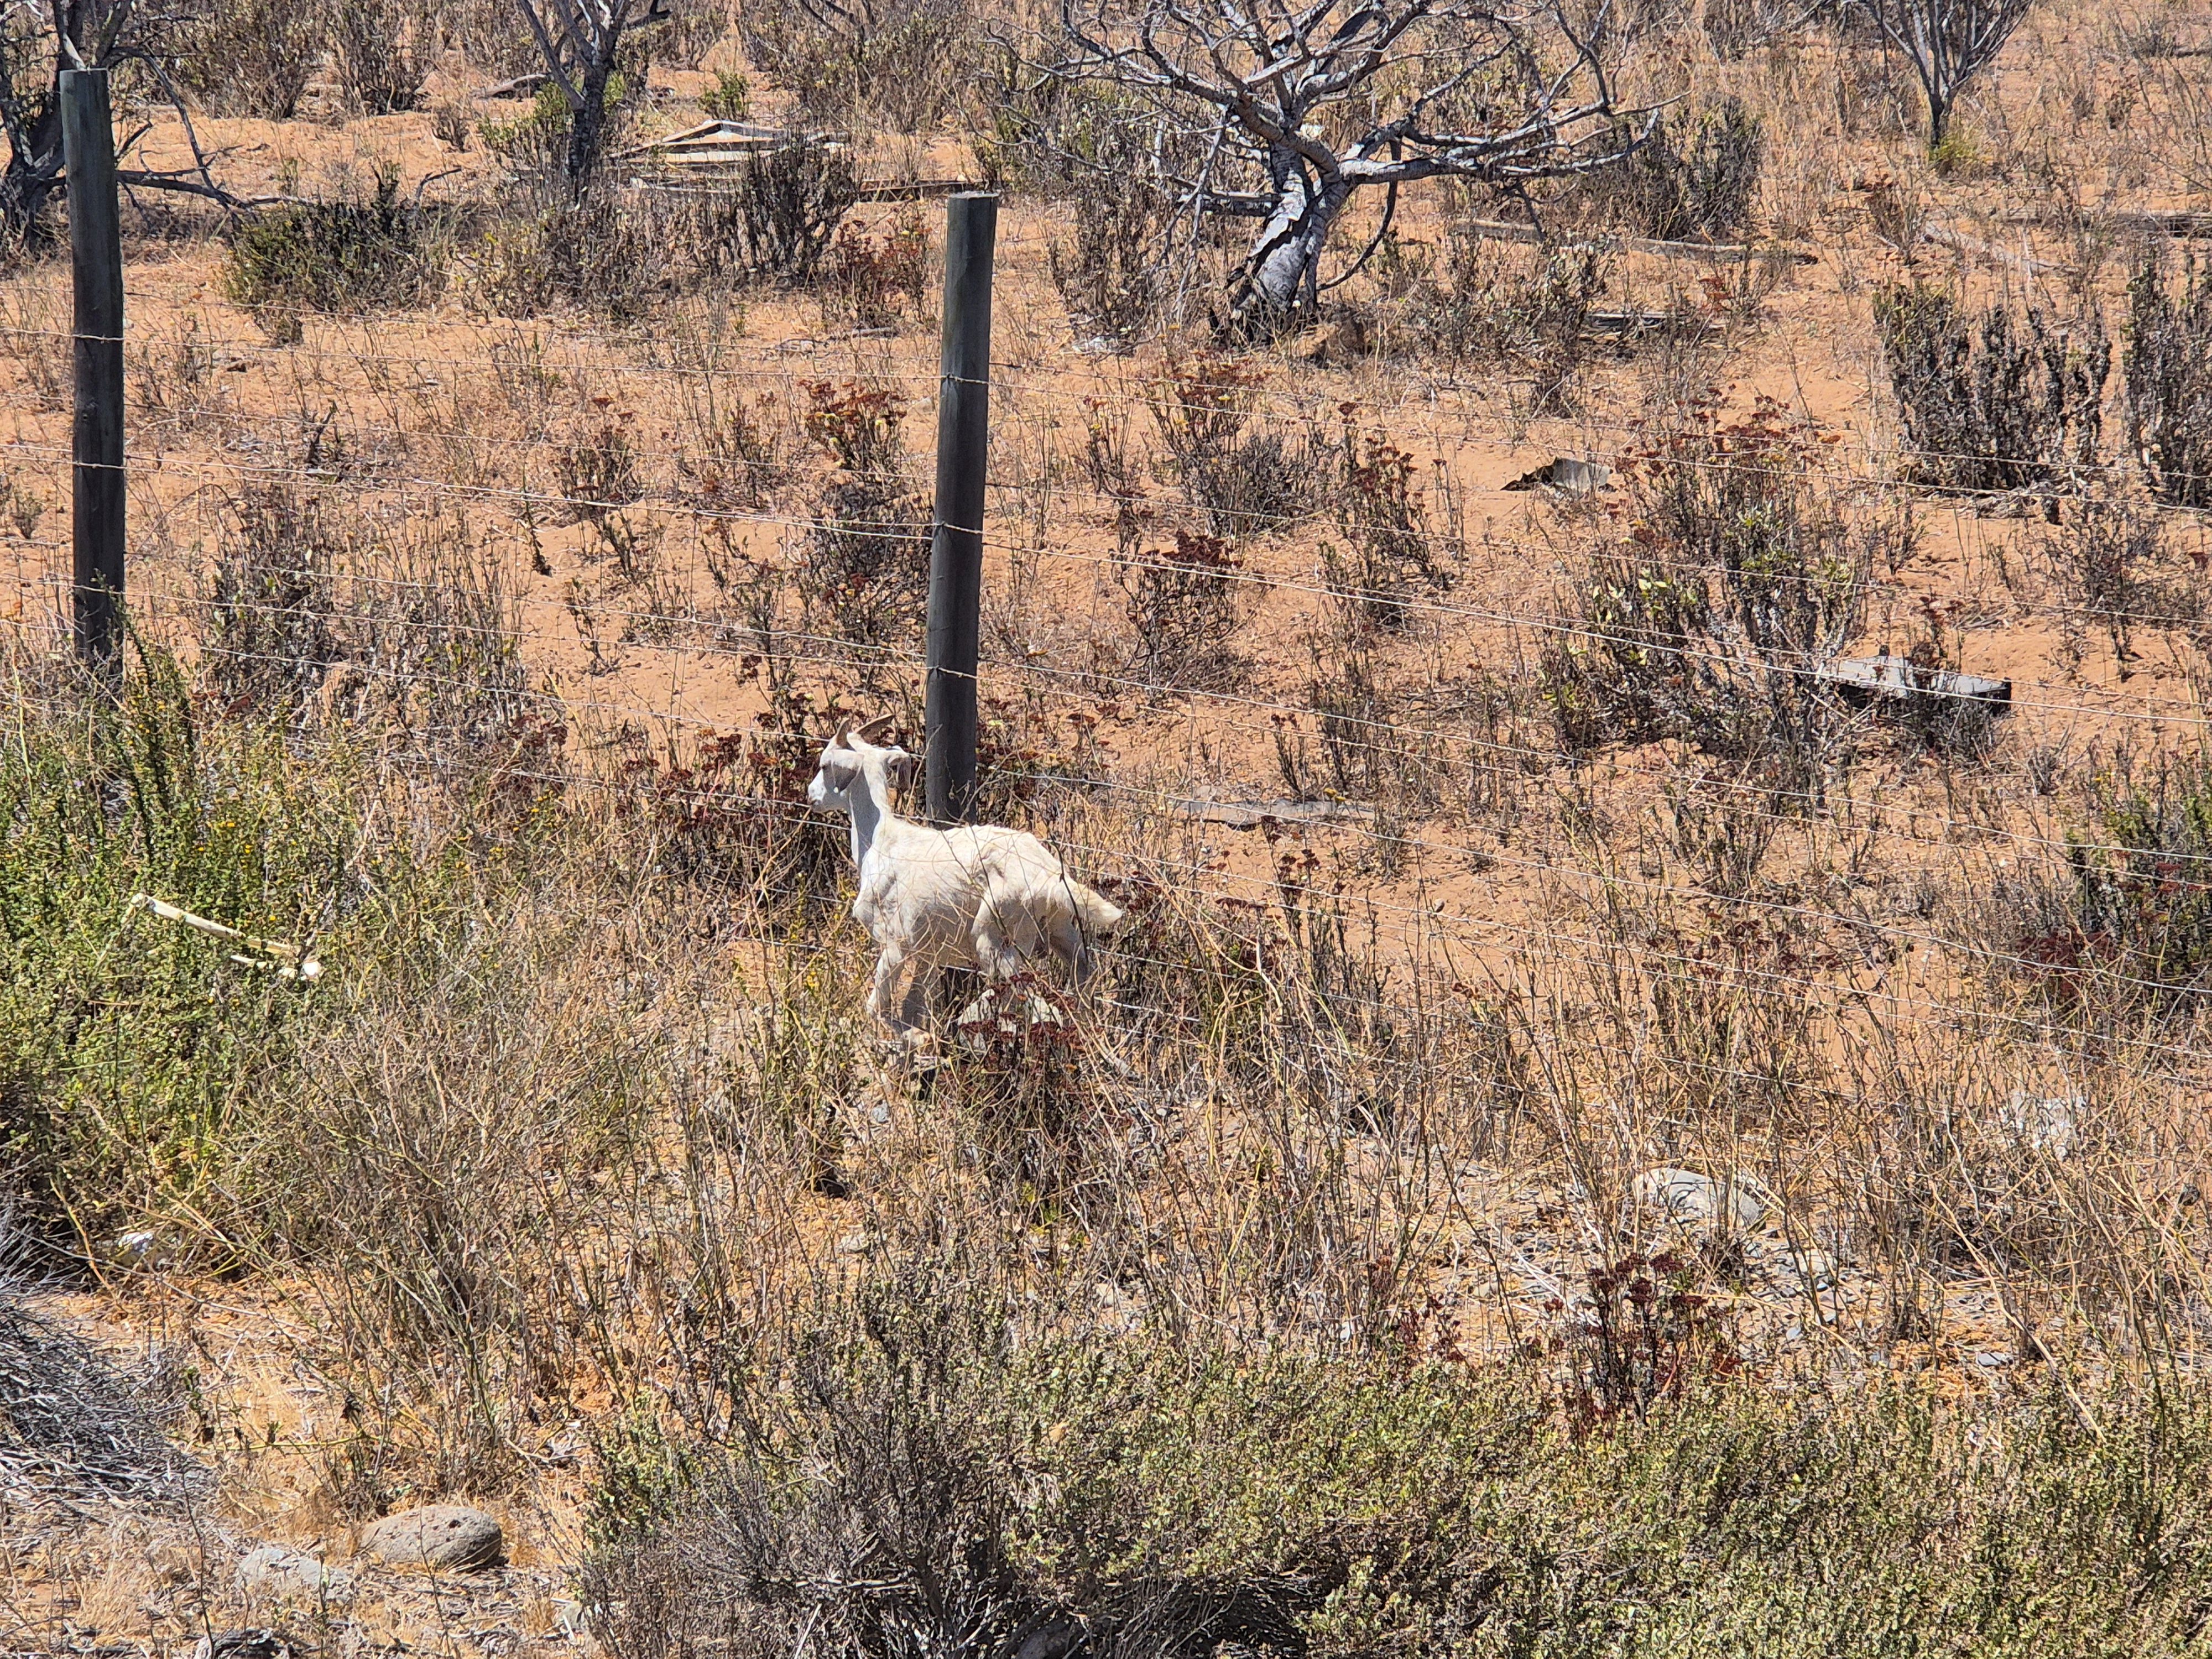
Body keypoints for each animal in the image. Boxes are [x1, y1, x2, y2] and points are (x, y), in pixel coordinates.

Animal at [806, 718, 1125, 1030]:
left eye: (824, 765)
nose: (811, 797)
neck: (880, 841)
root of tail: (1047, 875)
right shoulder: (928, 952)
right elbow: (913, 1008)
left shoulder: (896, 943)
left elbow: (877, 1006)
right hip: (1062, 929)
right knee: (1083, 976)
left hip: (996, 935)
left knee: (1021, 997)